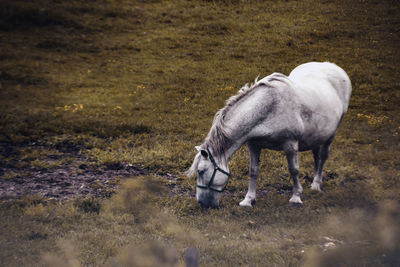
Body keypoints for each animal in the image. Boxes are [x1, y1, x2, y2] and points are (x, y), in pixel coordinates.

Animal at [187, 62, 350, 209]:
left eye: (201, 171)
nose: (201, 202)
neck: (270, 107)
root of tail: (334, 67)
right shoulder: (253, 145)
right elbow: (253, 171)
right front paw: (248, 200)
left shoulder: (290, 144)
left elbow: (294, 170)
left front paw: (296, 196)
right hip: (316, 136)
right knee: (316, 156)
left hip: (330, 135)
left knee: (322, 157)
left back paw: (316, 185)